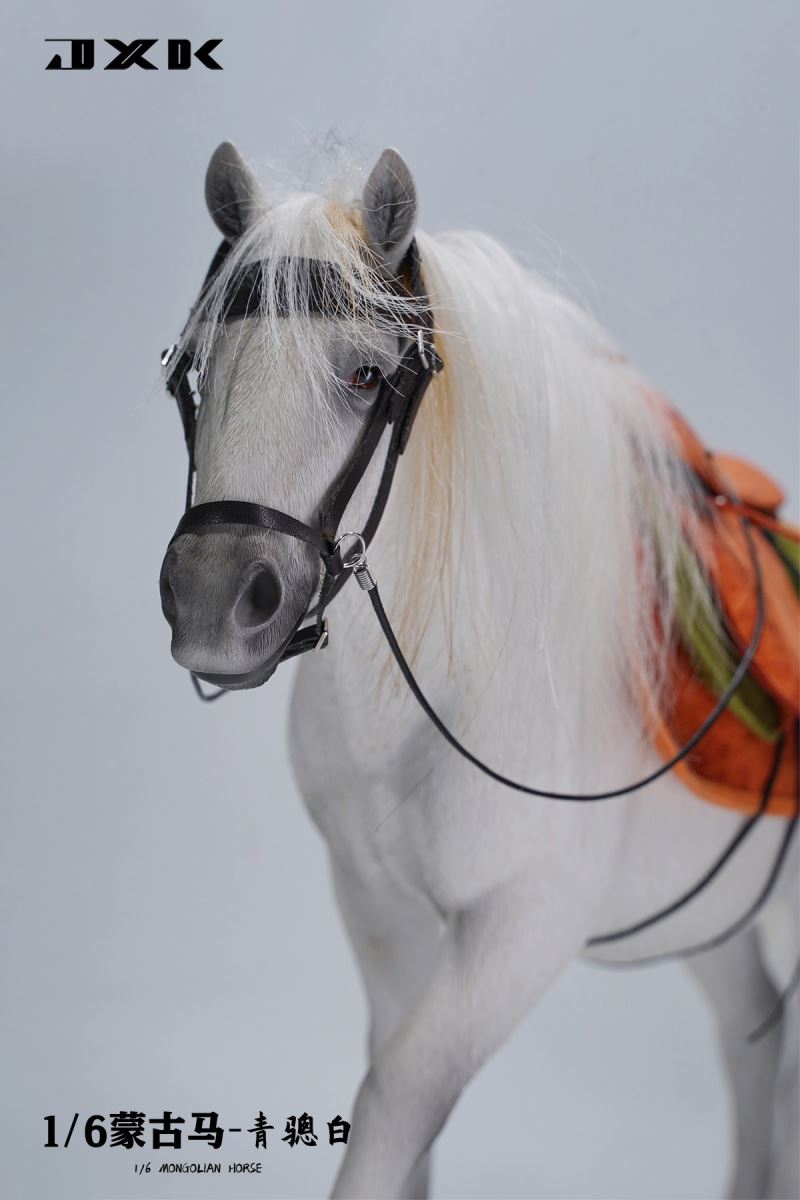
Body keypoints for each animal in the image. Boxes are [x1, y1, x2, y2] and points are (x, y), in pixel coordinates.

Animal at [158, 142, 799, 1200]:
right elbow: (402, 1113)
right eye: (199, 372)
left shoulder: (520, 928)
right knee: (755, 1038)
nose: (213, 603)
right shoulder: (378, 907)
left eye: (366, 374)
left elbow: (394, 1104)